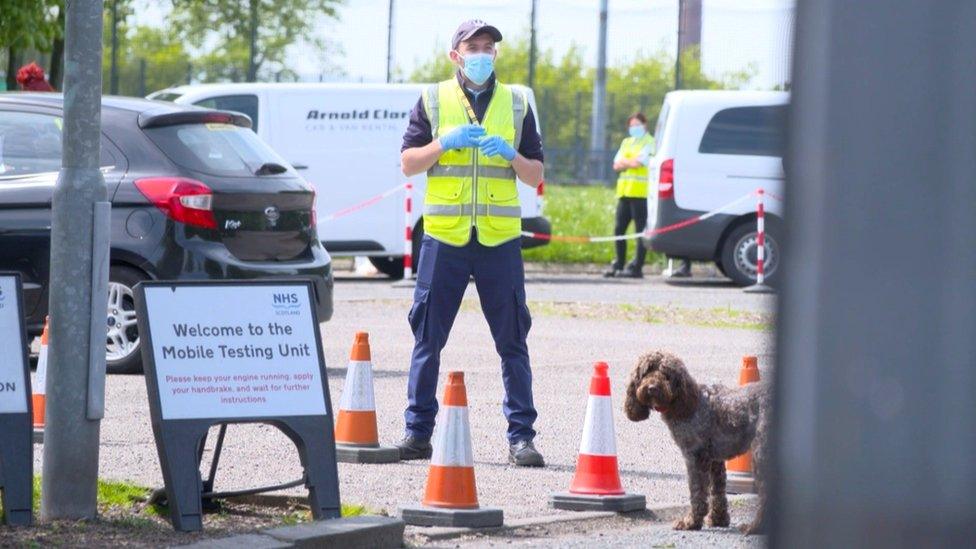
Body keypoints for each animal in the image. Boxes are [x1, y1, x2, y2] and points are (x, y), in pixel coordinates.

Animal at [624, 348, 772, 532]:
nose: (652, 388)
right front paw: (718, 519)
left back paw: (755, 527)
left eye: (666, 373)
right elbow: (718, 491)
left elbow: (698, 493)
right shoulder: (715, 459)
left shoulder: (695, 456)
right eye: (646, 371)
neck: (685, 402)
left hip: (761, 455)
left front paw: (691, 522)